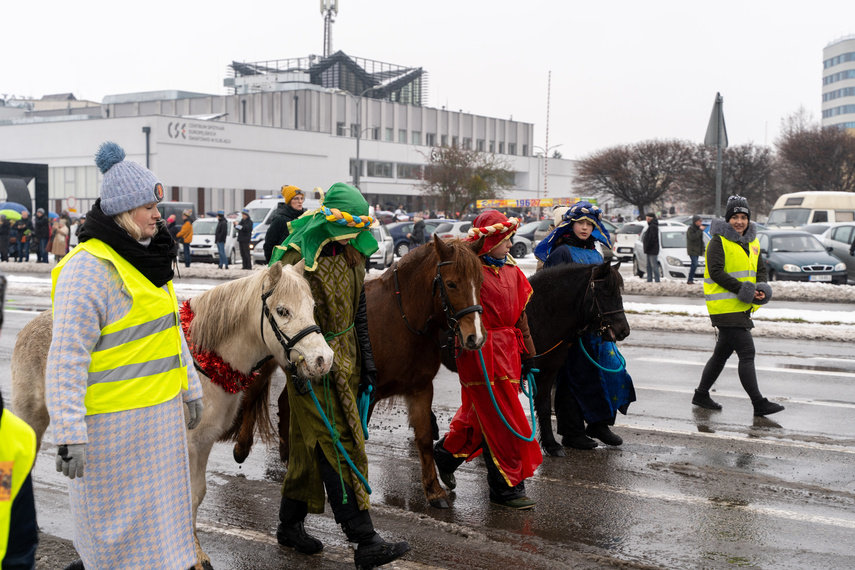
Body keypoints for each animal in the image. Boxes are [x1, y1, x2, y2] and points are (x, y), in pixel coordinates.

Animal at [14, 262, 334, 568]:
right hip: (33, 418)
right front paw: (193, 554)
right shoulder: (188, 444)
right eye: (282, 311)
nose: (324, 360)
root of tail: (31, 325)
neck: (204, 365)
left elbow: (197, 494)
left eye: (312, 307)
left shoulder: (204, 442)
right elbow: (185, 496)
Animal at [229, 233, 488, 508]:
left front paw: (434, 490)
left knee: (284, 404)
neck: (401, 319)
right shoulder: (367, 394)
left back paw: (287, 454)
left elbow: (425, 438)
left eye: (481, 281)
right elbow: (357, 439)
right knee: (251, 396)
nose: (475, 337)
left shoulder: (420, 389)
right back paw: (242, 447)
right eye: (451, 284)